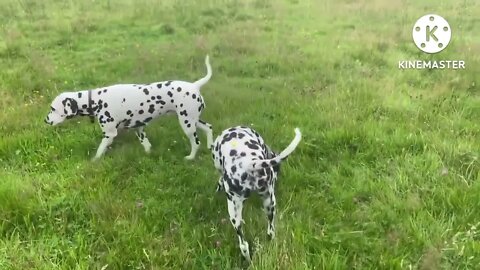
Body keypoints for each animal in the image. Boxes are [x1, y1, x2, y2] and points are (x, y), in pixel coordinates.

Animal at [45, 54, 214, 160]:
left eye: (53, 109)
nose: (45, 120)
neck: (96, 100)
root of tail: (195, 85)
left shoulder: (109, 134)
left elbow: (100, 150)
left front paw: (94, 161)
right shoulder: (139, 129)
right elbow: (147, 145)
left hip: (187, 124)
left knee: (196, 142)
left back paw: (191, 157)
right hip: (193, 120)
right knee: (209, 127)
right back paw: (211, 146)